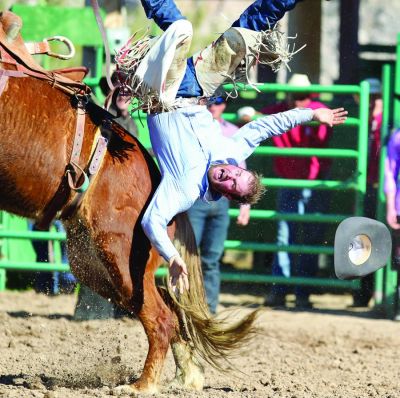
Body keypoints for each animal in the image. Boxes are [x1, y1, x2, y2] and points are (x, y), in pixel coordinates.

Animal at [0, 10, 256, 394]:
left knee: (161, 318)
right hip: (94, 266)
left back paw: (143, 385)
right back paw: (187, 375)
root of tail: (161, 184)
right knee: (169, 308)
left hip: (120, 257)